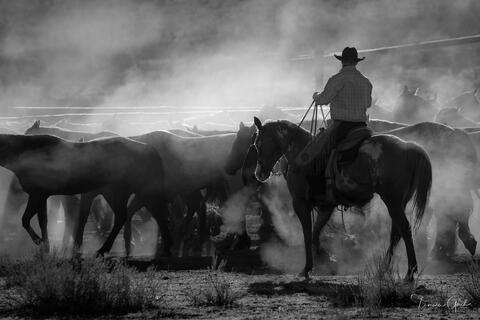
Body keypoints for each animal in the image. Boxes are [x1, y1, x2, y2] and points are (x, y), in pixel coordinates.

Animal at [0, 133, 168, 255]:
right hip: (118, 193)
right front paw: (45, 245)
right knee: (127, 216)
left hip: (129, 193)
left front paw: (40, 242)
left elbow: (26, 219)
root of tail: (149, 149)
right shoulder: (41, 195)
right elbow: (41, 221)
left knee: (150, 216)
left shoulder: (38, 194)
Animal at [253, 117, 434, 280]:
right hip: (400, 202)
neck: (301, 152)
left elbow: (307, 234)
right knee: (396, 232)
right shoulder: (326, 206)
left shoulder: (300, 203)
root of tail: (409, 148)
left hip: (392, 201)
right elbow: (315, 233)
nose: (259, 173)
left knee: (405, 228)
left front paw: (307, 268)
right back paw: (383, 269)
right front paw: (326, 259)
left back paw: (410, 271)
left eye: (258, 143)